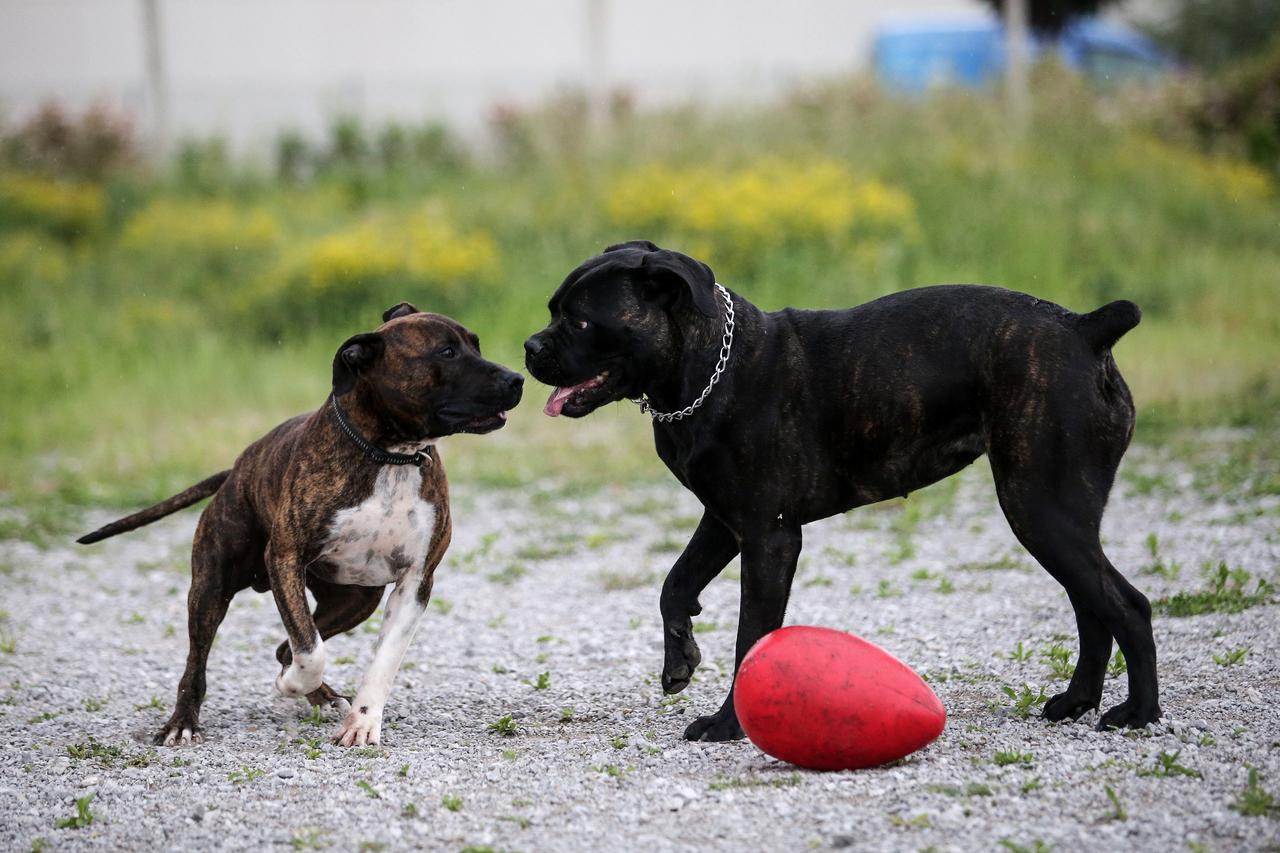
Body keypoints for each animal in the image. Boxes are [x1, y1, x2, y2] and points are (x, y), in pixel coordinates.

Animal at [524, 236, 1167, 737]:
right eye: (554, 310)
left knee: (1126, 606)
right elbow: (674, 585)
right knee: (1092, 607)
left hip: (1040, 508)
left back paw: (1138, 713)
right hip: (1056, 515)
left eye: (580, 320)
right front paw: (679, 658)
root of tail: (1084, 329)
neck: (709, 370)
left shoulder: (769, 539)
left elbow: (750, 638)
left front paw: (729, 724)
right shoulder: (725, 522)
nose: (531, 348)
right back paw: (1076, 702)